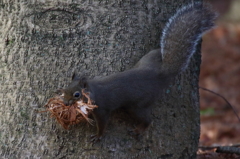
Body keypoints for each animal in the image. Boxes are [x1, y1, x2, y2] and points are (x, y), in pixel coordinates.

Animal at [58, 2, 218, 142]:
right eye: (64, 89)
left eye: (77, 94)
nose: (65, 103)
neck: (92, 90)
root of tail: (161, 73)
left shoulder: (102, 108)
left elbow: (103, 124)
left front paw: (98, 136)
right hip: (148, 59)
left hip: (137, 106)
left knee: (148, 120)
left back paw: (139, 130)